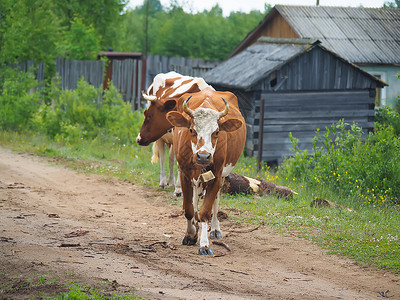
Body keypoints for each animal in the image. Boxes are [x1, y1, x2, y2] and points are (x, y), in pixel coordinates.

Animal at [166, 88, 247, 254]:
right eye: (191, 130)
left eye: (216, 132)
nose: (203, 156)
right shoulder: (184, 175)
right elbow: (189, 209)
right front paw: (190, 234)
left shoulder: (216, 175)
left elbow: (205, 211)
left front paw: (204, 243)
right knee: (195, 201)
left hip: (223, 176)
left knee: (216, 201)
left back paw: (215, 229)